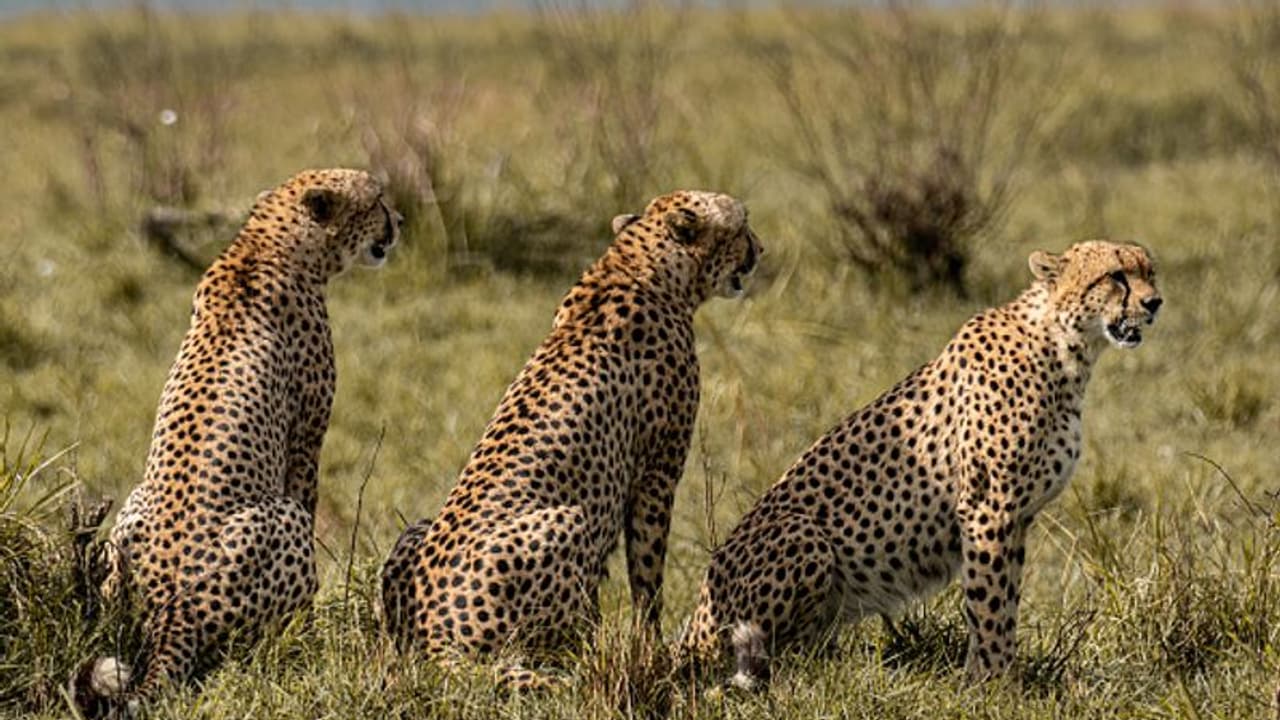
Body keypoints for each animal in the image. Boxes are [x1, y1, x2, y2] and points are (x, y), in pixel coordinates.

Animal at [72, 168, 401, 717]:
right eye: (376, 199)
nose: (399, 220)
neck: (268, 241)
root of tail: (173, 608)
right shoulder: (306, 439)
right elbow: (311, 499)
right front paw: (316, 621)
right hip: (277, 520)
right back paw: (298, 629)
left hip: (133, 506)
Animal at [380, 190, 762, 688]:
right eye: (741, 226)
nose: (760, 249)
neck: (637, 263)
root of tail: (435, 639)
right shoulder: (657, 474)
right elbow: (647, 575)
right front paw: (651, 650)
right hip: (567, 520)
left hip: (418, 532)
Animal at [676, 240, 1161, 690]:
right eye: (1116, 276)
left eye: (1149, 272)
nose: (1155, 302)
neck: (1064, 348)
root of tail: (690, 629)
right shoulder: (988, 509)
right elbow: (989, 603)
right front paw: (992, 683)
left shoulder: (1016, 518)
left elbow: (1006, 600)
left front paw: (999, 675)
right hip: (803, 535)